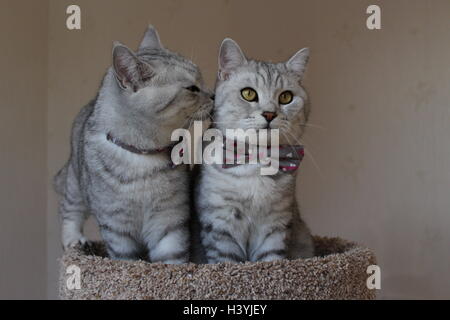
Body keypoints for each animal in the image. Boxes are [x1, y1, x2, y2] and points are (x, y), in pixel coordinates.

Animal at [192, 38, 314, 264]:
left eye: (286, 97)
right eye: (248, 94)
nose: (269, 114)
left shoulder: (276, 225)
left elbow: (271, 260)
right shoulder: (221, 223)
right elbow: (227, 261)